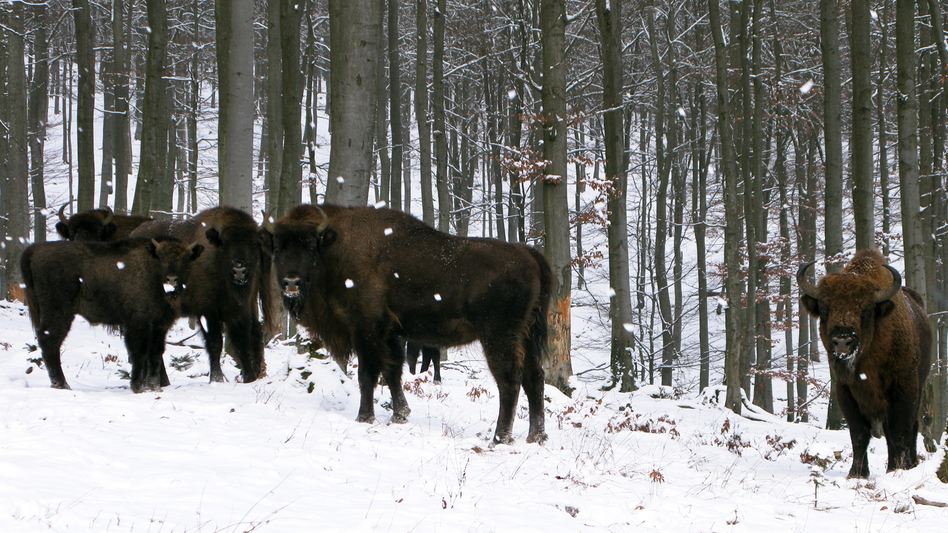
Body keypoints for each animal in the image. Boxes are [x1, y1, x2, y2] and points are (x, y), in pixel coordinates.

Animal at [20, 237, 203, 392]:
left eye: (186, 258)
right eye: (160, 257)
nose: (171, 279)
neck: (152, 271)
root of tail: (35, 249)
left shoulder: (160, 324)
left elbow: (155, 354)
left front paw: (153, 387)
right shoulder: (138, 322)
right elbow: (139, 352)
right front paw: (138, 386)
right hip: (59, 312)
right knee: (50, 341)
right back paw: (62, 385)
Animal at [131, 206, 276, 383]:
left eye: (254, 243)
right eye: (224, 243)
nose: (239, 270)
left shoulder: (241, 308)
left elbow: (243, 340)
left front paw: (250, 377)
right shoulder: (208, 311)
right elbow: (215, 343)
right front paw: (217, 379)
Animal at [265, 204, 552, 445]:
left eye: (310, 246)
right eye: (278, 247)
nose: (291, 282)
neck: (336, 247)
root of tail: (529, 253)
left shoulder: (366, 328)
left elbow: (368, 373)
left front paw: (364, 417)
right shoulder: (391, 333)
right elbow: (393, 371)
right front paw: (399, 416)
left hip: (498, 336)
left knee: (510, 379)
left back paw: (500, 438)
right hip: (525, 335)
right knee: (535, 377)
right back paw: (535, 436)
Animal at [798, 249, 932, 477]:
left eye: (867, 310)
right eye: (824, 308)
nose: (842, 341)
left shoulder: (904, 389)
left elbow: (901, 430)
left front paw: (902, 469)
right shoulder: (845, 391)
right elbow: (859, 433)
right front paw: (857, 473)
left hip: (919, 386)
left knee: (910, 427)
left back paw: (906, 464)